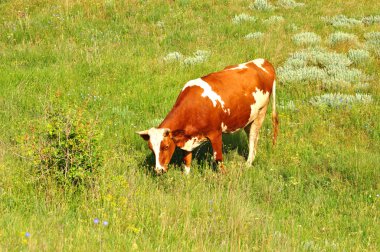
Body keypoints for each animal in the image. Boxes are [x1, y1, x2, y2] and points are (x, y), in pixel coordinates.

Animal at [138, 58, 278, 174]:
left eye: (166, 146)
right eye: (151, 148)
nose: (158, 170)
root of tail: (263, 61)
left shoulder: (215, 133)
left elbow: (218, 158)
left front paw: (224, 177)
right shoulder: (187, 139)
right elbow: (187, 160)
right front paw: (186, 179)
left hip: (260, 113)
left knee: (253, 138)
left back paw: (248, 163)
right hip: (249, 118)